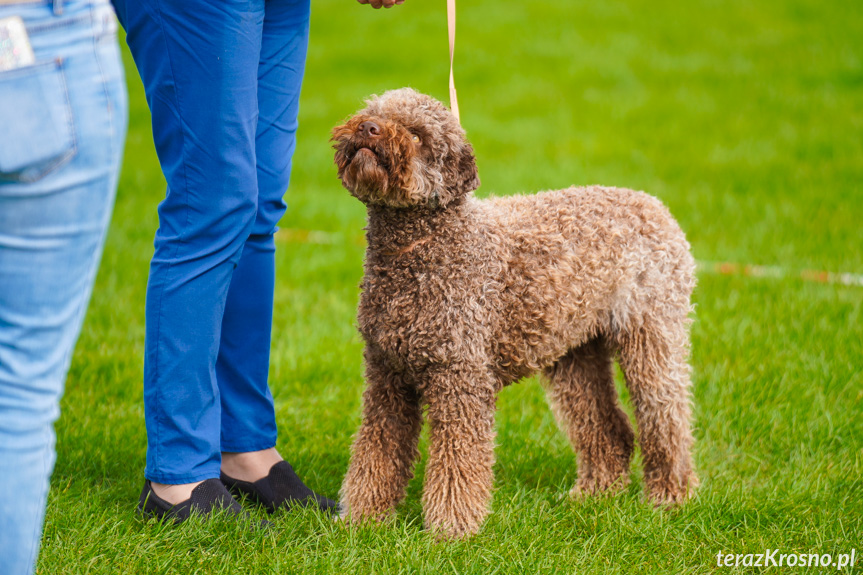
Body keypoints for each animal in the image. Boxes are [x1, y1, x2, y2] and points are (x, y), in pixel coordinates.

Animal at [334, 88, 700, 536]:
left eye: (417, 135)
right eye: (373, 112)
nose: (369, 128)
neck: (423, 249)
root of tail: (656, 206)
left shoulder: (461, 377)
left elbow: (458, 461)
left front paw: (452, 528)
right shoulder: (387, 376)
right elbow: (377, 451)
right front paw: (363, 520)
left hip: (651, 334)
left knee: (667, 418)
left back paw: (670, 495)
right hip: (574, 351)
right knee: (607, 428)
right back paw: (593, 494)